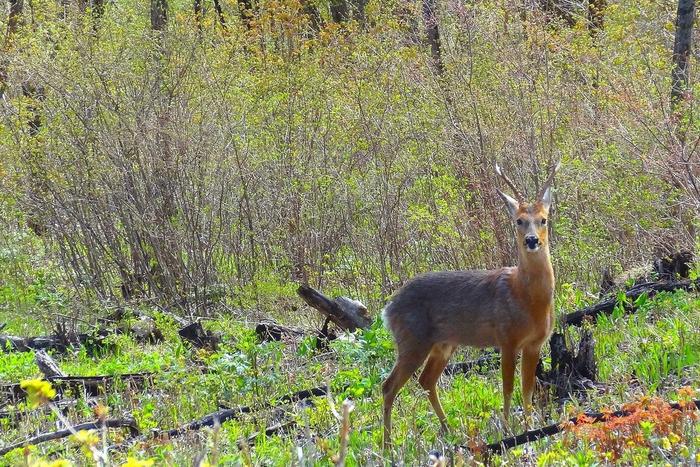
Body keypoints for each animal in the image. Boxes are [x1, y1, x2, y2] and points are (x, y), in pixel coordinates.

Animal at [380, 162, 560, 450]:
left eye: (543, 219)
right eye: (518, 220)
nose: (532, 240)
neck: (527, 299)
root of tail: (388, 309)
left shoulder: (535, 343)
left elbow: (527, 388)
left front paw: (530, 429)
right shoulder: (506, 338)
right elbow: (507, 386)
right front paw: (508, 430)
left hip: (443, 343)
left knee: (425, 379)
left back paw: (448, 431)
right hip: (412, 340)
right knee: (389, 386)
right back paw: (388, 446)